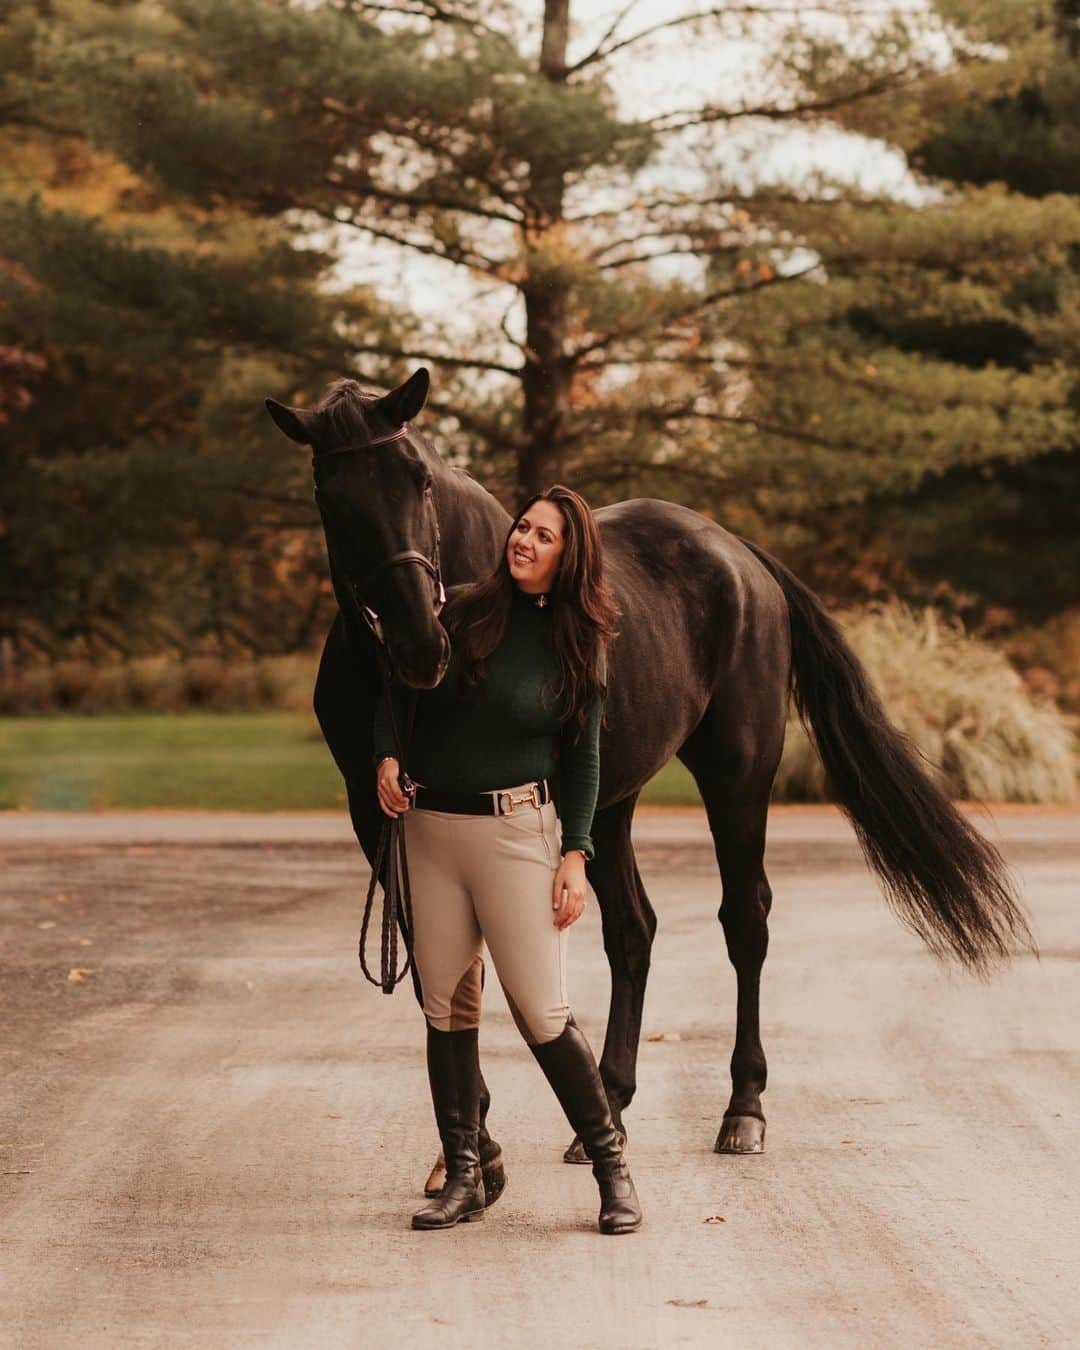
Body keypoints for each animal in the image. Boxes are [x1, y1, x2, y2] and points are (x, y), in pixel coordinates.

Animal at [267, 367, 1031, 1161]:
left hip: (736, 776)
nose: (422, 645)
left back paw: (743, 1109)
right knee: (634, 930)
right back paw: (611, 1100)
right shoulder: (379, 814)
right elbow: (436, 962)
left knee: (744, 920)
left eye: (418, 479)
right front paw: (475, 1138)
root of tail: (741, 557)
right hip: (608, 801)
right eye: (332, 498)